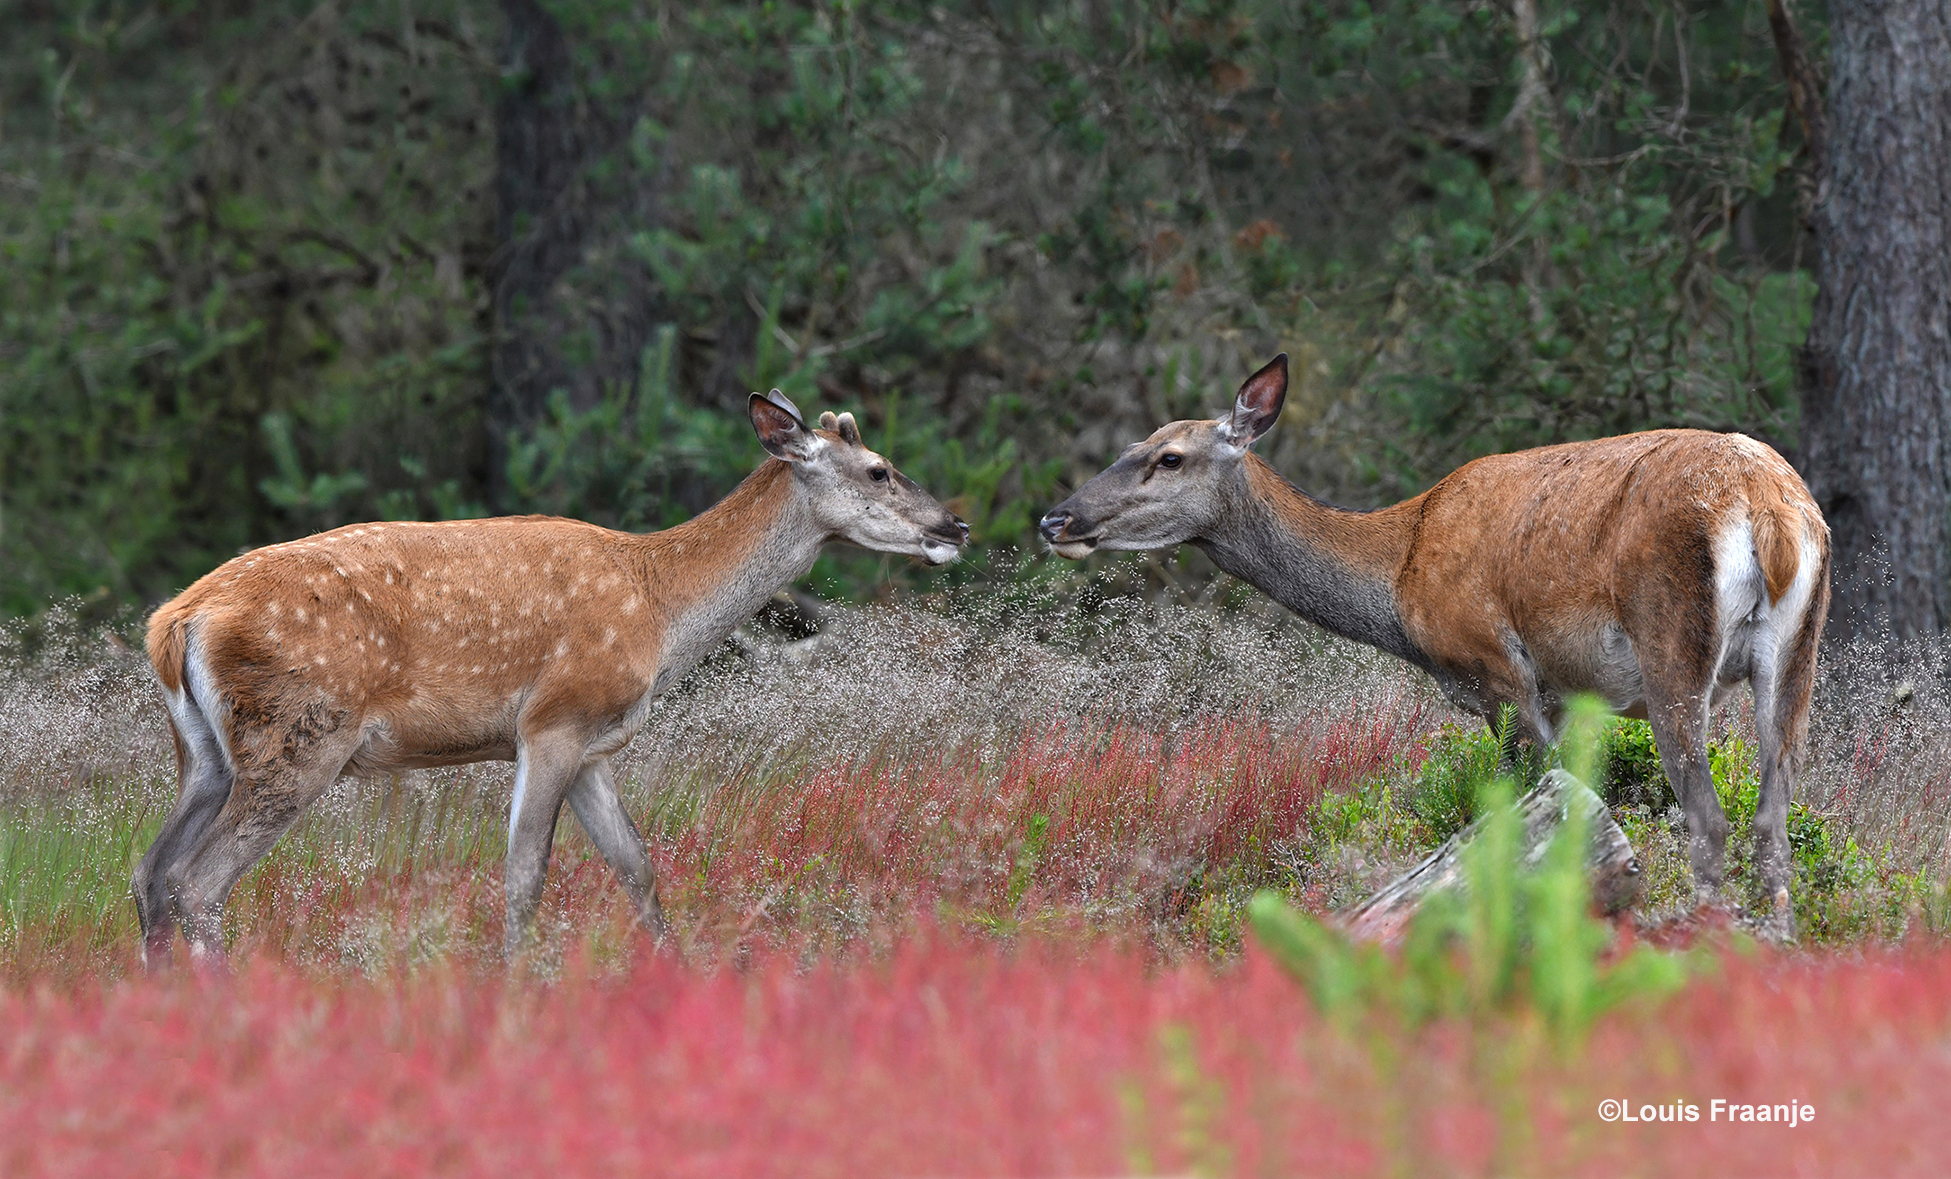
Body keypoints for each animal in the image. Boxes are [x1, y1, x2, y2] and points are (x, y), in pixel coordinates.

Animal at [137, 392, 967, 964]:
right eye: (878, 469)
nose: (954, 526)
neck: (660, 607)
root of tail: (176, 620)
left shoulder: (595, 744)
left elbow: (637, 865)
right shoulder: (553, 719)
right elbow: (524, 874)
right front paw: (515, 985)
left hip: (204, 753)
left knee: (151, 873)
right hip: (299, 735)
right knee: (199, 882)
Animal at [1045, 355, 1833, 933]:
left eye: (1170, 457)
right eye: (1131, 446)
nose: (1058, 518)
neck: (1398, 578)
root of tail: (1768, 507)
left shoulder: (1494, 667)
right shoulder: (1564, 693)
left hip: (1670, 638)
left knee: (1709, 816)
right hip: (1799, 650)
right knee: (1773, 821)